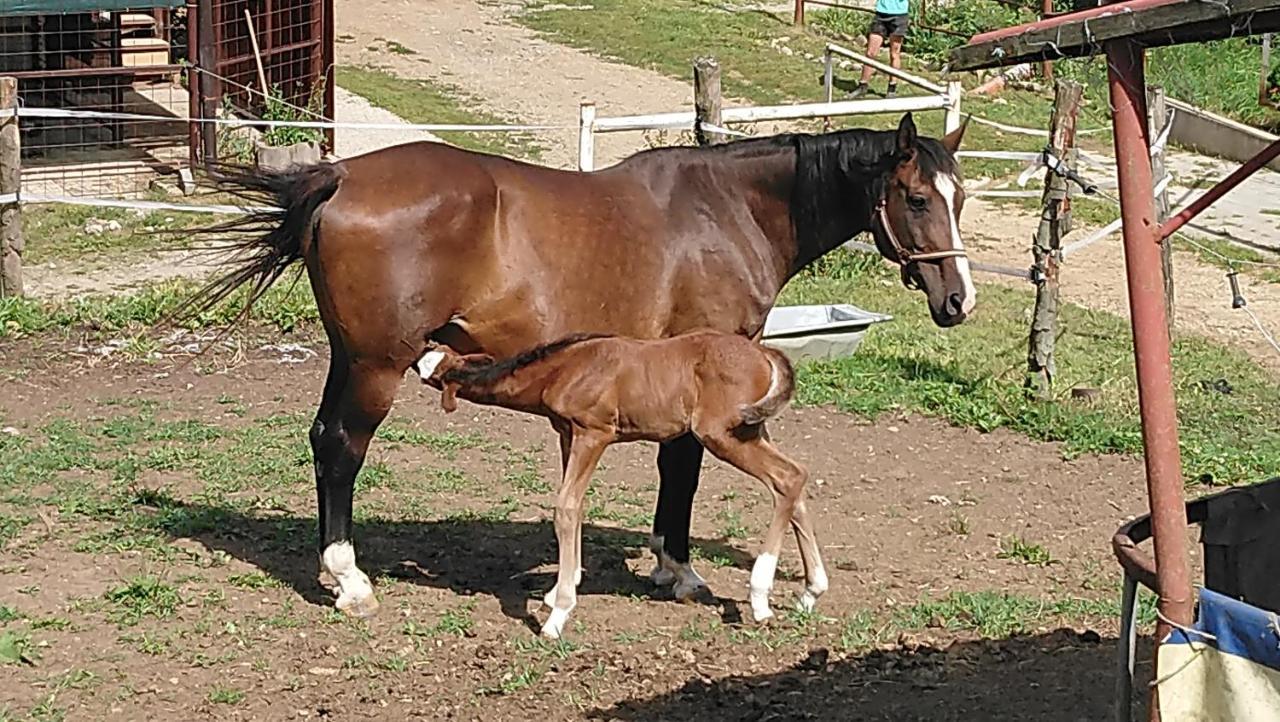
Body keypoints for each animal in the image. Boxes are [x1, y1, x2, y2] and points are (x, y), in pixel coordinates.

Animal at [414, 330, 824, 637]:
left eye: (431, 372)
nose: (416, 351)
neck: (564, 368)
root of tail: (765, 352)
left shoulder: (592, 433)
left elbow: (566, 507)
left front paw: (558, 614)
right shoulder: (568, 435)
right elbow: (577, 506)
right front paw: (559, 589)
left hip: (723, 434)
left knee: (787, 477)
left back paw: (760, 597)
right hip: (754, 430)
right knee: (796, 482)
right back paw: (811, 591)